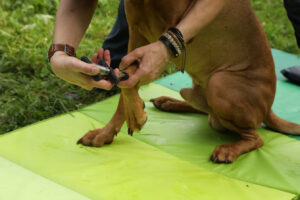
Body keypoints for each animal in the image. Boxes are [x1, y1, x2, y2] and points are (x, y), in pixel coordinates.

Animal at [78, 0, 300, 162]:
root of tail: (269, 108)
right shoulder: (136, 32)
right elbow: (124, 83)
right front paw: (106, 132)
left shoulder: (166, 36)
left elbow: (130, 79)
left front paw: (136, 116)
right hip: (197, 90)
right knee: (207, 112)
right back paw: (169, 102)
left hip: (219, 83)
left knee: (256, 137)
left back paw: (229, 150)